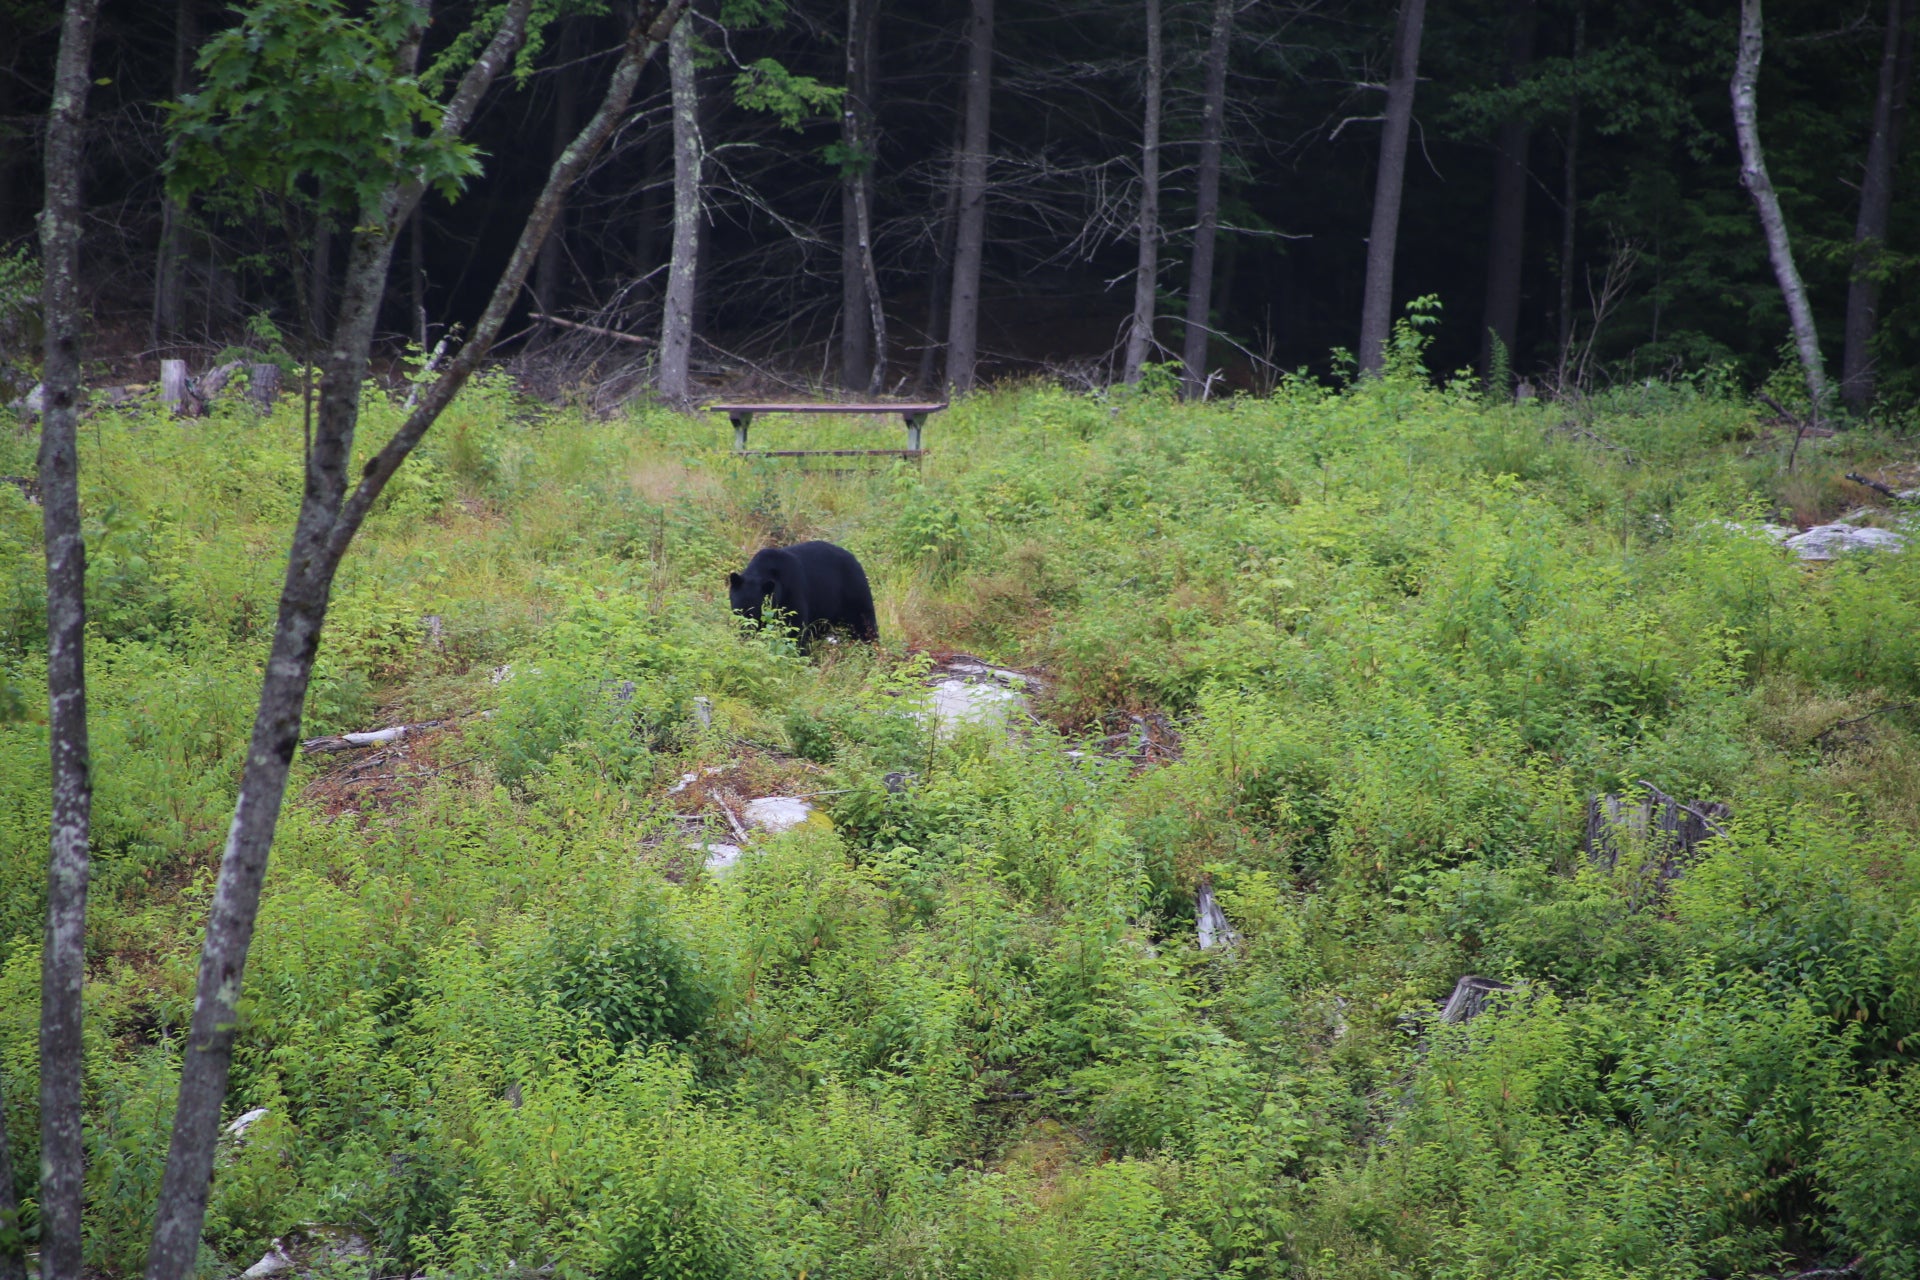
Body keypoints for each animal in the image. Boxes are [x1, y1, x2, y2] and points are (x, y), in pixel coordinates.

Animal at [728, 540, 879, 651]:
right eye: (738, 611)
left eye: (756, 612)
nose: (747, 633)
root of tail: (856, 561)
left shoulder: (792, 590)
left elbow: (795, 628)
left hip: (853, 592)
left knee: (864, 624)